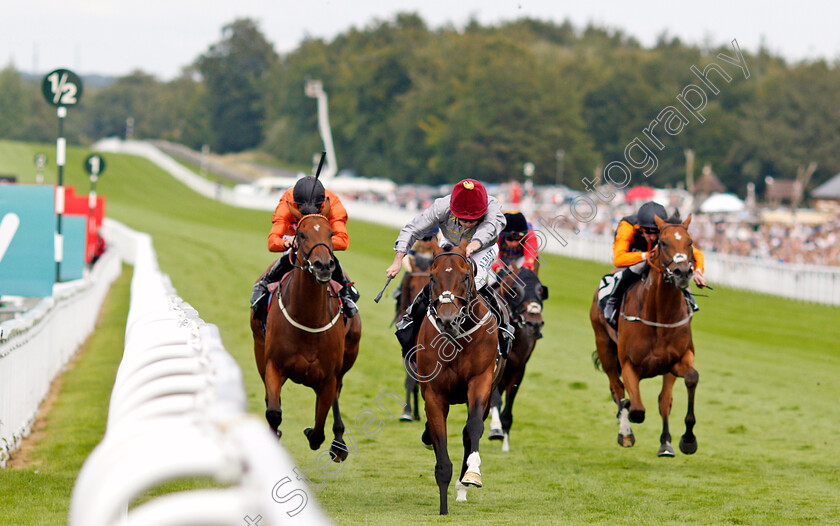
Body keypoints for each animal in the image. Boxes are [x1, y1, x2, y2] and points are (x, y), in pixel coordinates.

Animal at [253, 202, 364, 462]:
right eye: (302, 234)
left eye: (331, 234)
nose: (323, 265)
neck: (309, 319)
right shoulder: (273, 365)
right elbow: (274, 412)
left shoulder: (328, 377)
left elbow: (319, 429)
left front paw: (322, 437)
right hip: (259, 349)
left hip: (347, 358)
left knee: (336, 395)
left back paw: (339, 442)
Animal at [410, 241, 502, 516]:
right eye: (432, 277)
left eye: (465, 276)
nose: (447, 320)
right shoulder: (434, 393)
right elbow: (439, 438)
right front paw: (443, 508)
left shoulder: (481, 381)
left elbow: (473, 427)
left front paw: (472, 474)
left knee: (469, 432)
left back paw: (464, 484)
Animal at [486, 268, 544, 454]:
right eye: (516, 290)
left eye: (541, 290)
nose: (534, 323)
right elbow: (496, 400)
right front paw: (496, 429)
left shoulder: (518, 369)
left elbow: (507, 409)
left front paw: (505, 442)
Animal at [592, 214, 704, 458]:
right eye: (663, 242)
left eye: (690, 242)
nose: (683, 272)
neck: (660, 315)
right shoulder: (628, 364)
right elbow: (636, 409)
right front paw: (627, 424)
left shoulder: (677, 360)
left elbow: (688, 381)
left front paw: (687, 439)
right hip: (604, 346)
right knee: (618, 389)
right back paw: (625, 433)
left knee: (662, 399)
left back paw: (665, 442)